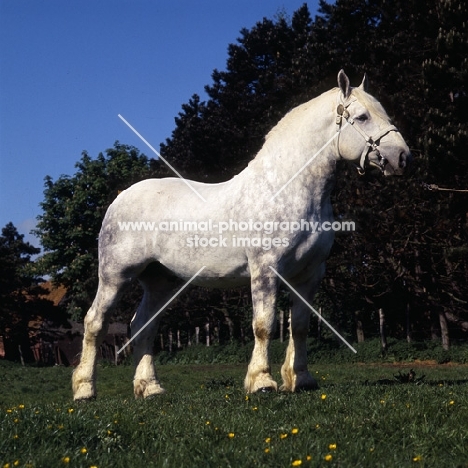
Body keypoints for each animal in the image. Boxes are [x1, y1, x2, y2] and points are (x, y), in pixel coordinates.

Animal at [72, 69, 410, 398]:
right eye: (362, 116)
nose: (402, 157)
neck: (286, 189)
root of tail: (120, 198)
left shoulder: (309, 274)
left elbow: (299, 325)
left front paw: (301, 379)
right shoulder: (266, 269)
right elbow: (264, 324)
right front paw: (261, 381)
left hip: (161, 282)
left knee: (144, 326)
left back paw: (150, 388)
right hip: (116, 275)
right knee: (95, 322)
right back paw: (85, 389)